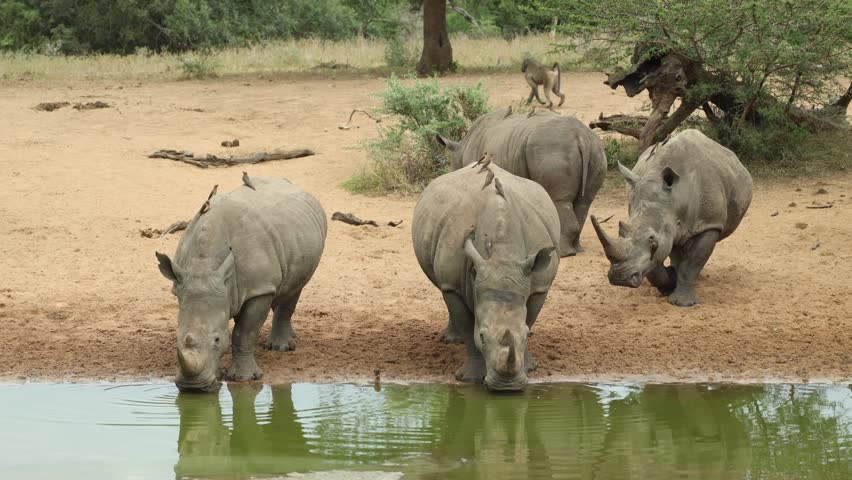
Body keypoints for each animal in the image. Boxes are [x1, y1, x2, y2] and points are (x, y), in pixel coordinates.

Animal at [156, 176, 326, 392]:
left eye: (217, 340)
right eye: (176, 338)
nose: (192, 387)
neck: (203, 267)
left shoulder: (259, 289)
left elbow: (244, 333)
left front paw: (245, 378)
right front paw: (218, 375)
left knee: (295, 287)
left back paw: (280, 348)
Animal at [412, 162, 560, 391]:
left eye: (525, 335)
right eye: (482, 336)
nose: (507, 387)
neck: (503, 254)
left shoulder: (539, 285)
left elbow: (531, 317)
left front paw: (529, 368)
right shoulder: (453, 282)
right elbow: (467, 328)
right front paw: (470, 379)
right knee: (444, 290)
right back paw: (450, 340)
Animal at [438, 107, 607, 257]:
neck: (461, 149)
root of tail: (580, 135)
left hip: (552, 149)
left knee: (560, 200)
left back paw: (564, 253)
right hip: (596, 149)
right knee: (584, 202)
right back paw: (577, 249)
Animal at [590, 129, 752, 307]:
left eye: (653, 241)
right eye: (621, 232)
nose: (620, 278)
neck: (678, 198)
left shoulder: (710, 224)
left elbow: (694, 261)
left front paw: (683, 303)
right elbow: (656, 264)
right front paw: (670, 282)